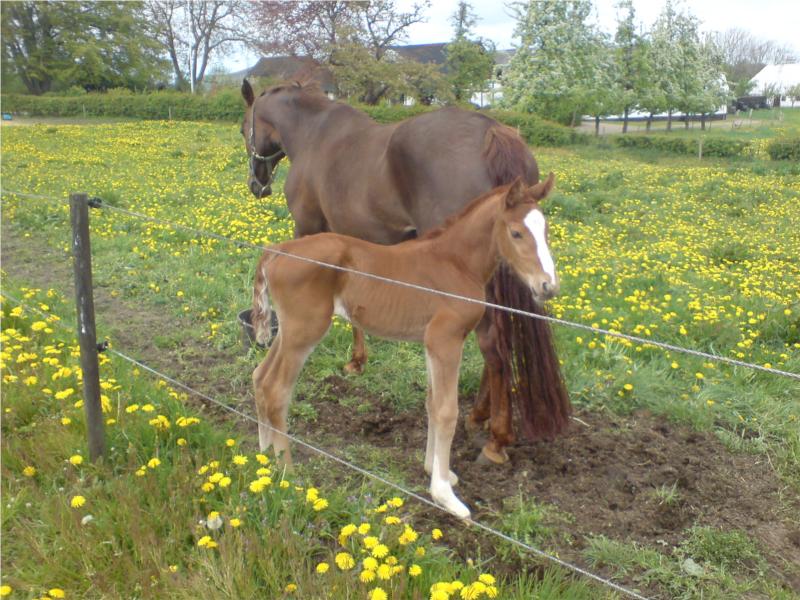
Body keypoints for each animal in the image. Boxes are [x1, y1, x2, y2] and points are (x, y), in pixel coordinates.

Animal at [250, 175, 556, 520]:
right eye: (516, 232)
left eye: (545, 230)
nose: (548, 285)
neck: (455, 263)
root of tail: (277, 250)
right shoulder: (446, 340)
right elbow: (447, 411)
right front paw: (445, 496)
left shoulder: (431, 343)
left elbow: (432, 404)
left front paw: (434, 470)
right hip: (305, 331)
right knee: (276, 390)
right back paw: (288, 475)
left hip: (288, 332)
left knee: (260, 377)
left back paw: (265, 457)